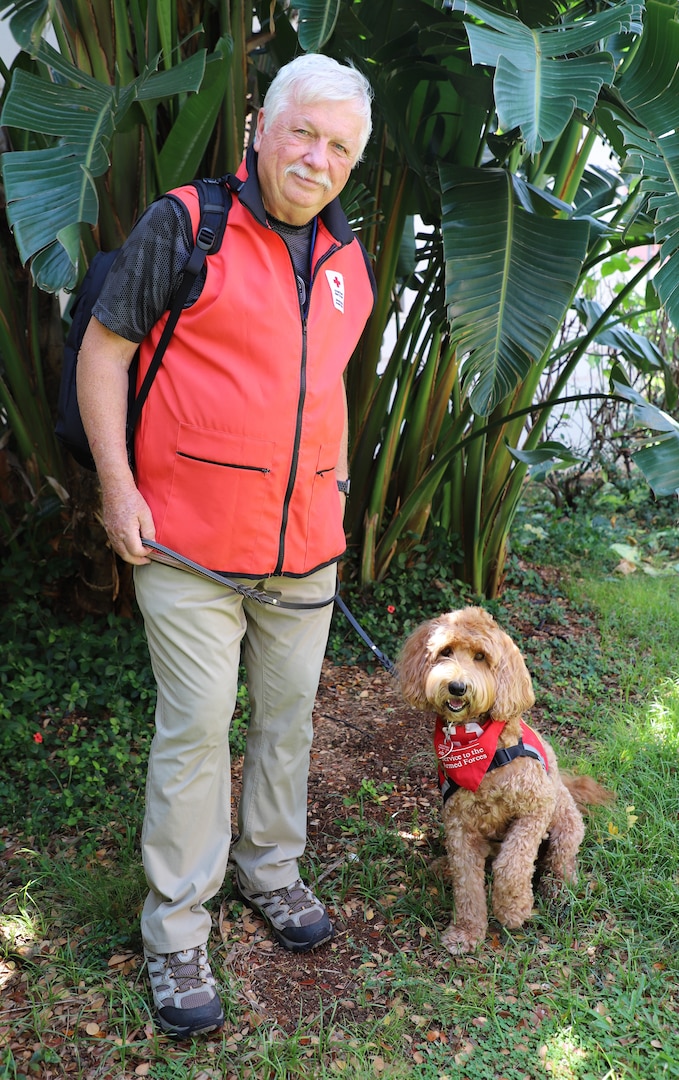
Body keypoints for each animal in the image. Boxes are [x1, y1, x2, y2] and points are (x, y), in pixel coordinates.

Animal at [395, 609, 613, 954]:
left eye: (481, 657)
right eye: (445, 651)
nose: (456, 687)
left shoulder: (536, 809)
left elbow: (512, 864)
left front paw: (513, 907)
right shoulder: (459, 825)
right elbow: (467, 882)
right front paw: (466, 931)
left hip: (565, 824)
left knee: (560, 861)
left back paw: (557, 887)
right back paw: (443, 866)